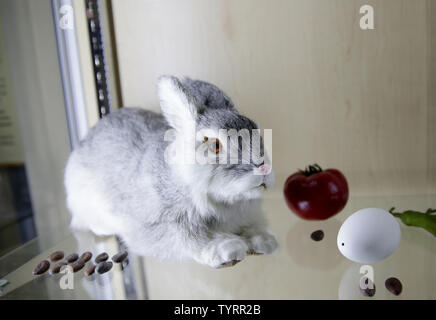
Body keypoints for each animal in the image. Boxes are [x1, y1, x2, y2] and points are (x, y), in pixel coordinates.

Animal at [63, 75, 278, 268]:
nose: (264, 168)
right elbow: (192, 241)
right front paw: (229, 248)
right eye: (215, 145)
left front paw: (265, 242)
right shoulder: (165, 227)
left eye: (256, 130)